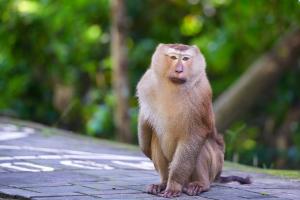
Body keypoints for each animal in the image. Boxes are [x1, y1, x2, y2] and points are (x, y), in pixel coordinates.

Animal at [137, 43, 250, 198]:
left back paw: (199, 184)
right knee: (155, 138)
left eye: (185, 59)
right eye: (173, 57)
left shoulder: (201, 92)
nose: (179, 70)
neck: (173, 87)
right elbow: (146, 121)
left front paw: (174, 185)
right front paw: (145, 148)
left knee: (200, 144)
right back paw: (163, 182)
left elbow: (195, 134)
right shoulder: (147, 83)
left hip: (214, 166)